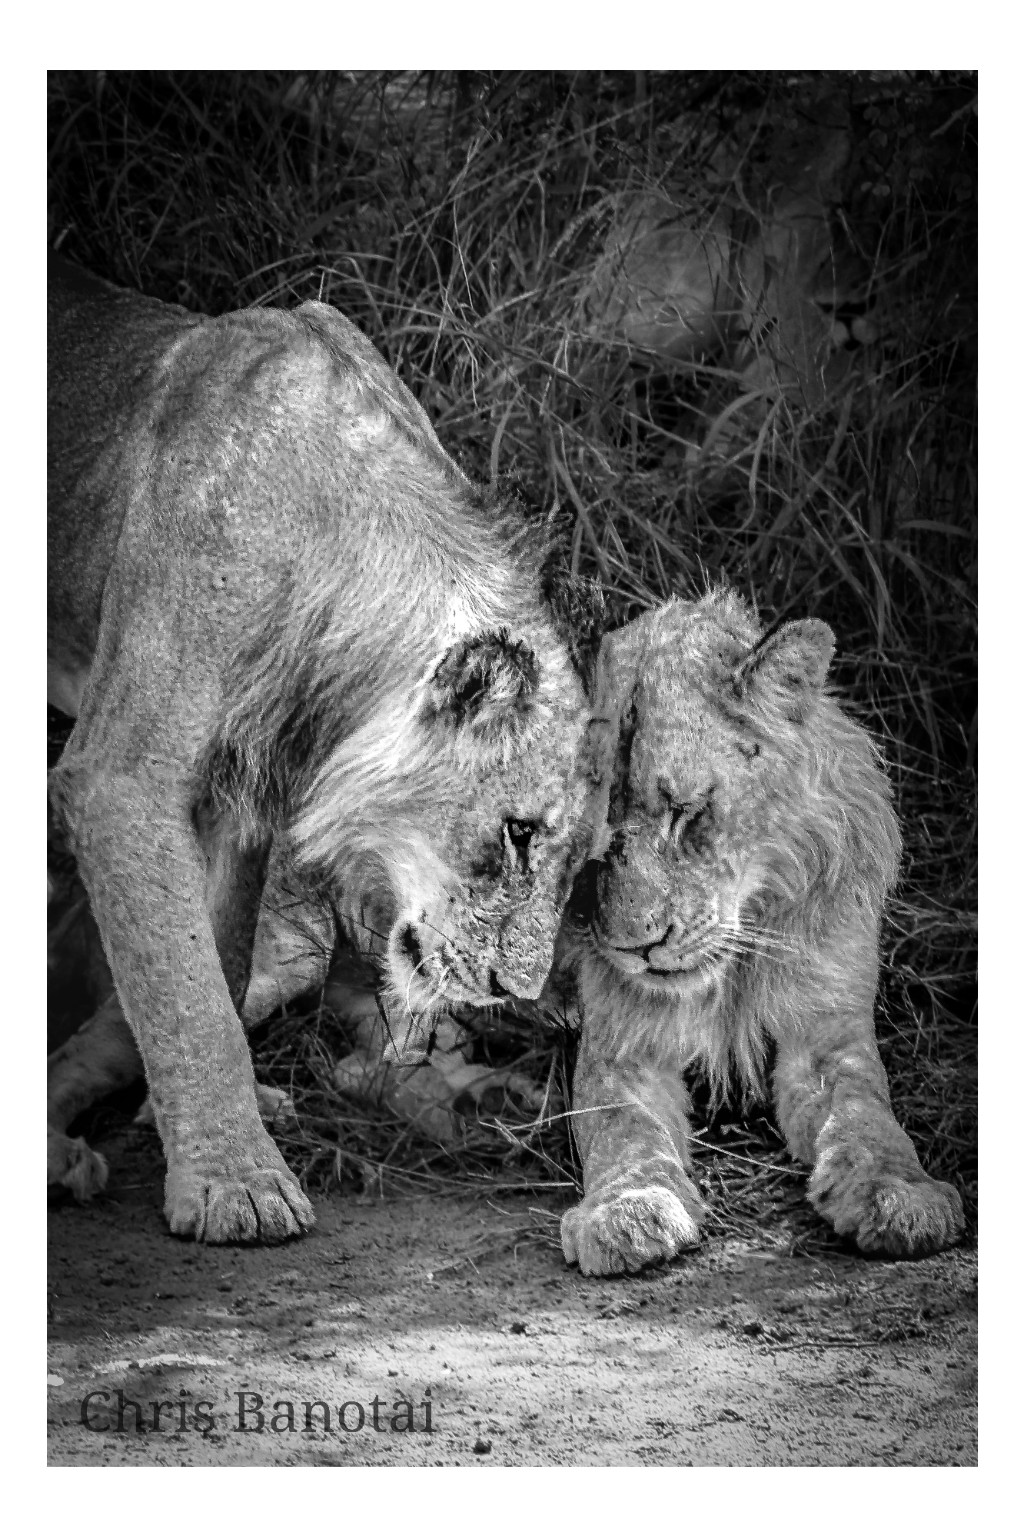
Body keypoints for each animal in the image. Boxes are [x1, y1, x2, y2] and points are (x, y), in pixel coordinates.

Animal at [47, 254, 593, 1244]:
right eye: (518, 833)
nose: (513, 990)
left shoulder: (233, 796)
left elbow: (212, 963)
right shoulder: (121, 780)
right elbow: (186, 991)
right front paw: (237, 1186)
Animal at [556, 588, 966, 1275]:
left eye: (687, 810)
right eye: (587, 837)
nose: (636, 947)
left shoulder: (828, 1028)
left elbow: (865, 1112)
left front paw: (897, 1194)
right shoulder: (620, 1047)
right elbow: (622, 1127)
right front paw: (630, 1207)